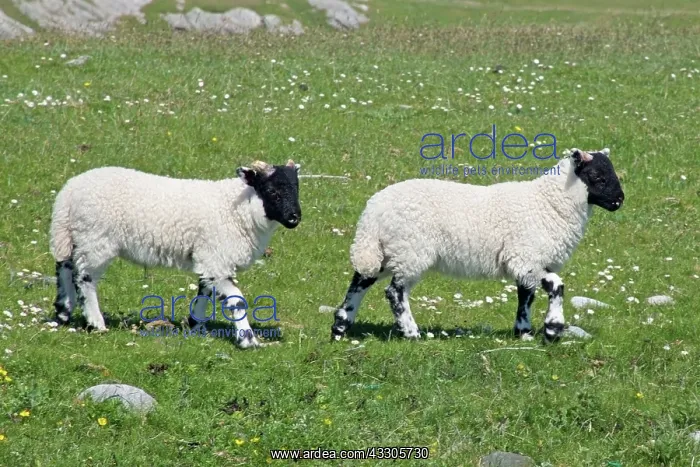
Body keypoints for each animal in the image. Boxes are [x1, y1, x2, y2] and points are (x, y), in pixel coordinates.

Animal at [49, 160, 301, 349]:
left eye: (297, 189)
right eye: (271, 191)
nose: (294, 218)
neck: (238, 210)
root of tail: (68, 193)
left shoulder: (208, 258)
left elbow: (205, 291)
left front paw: (196, 325)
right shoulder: (217, 258)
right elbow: (236, 300)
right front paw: (248, 340)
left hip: (73, 236)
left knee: (64, 266)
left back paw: (63, 311)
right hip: (96, 239)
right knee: (84, 278)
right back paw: (96, 322)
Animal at [330, 148, 624, 343]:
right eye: (598, 176)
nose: (620, 201)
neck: (549, 203)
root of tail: (373, 212)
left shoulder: (527, 262)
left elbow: (526, 296)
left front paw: (524, 333)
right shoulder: (527, 257)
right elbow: (556, 287)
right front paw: (552, 329)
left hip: (384, 252)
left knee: (359, 282)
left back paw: (340, 328)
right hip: (410, 251)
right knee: (395, 293)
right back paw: (412, 334)